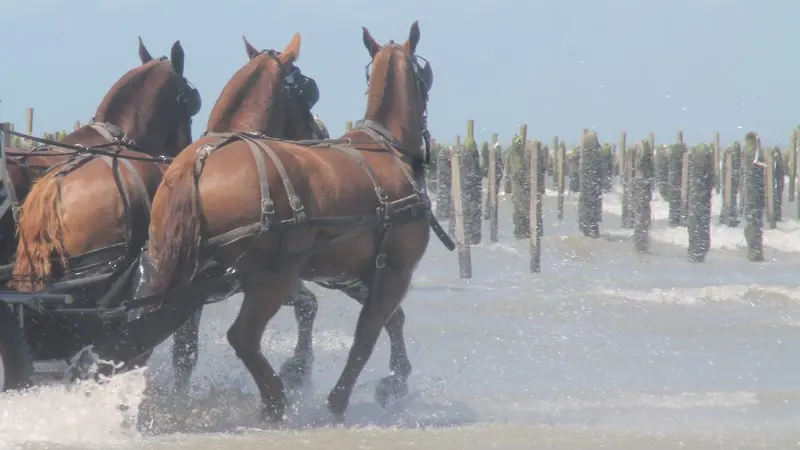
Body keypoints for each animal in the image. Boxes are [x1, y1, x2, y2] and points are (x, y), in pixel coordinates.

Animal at [142, 21, 438, 422]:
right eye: (427, 75)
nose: (318, 129)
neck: (386, 148)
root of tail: (198, 162)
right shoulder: (395, 271)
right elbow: (367, 334)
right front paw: (347, 398)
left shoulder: (349, 273)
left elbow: (389, 319)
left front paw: (390, 379)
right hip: (271, 277)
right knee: (243, 336)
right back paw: (274, 401)